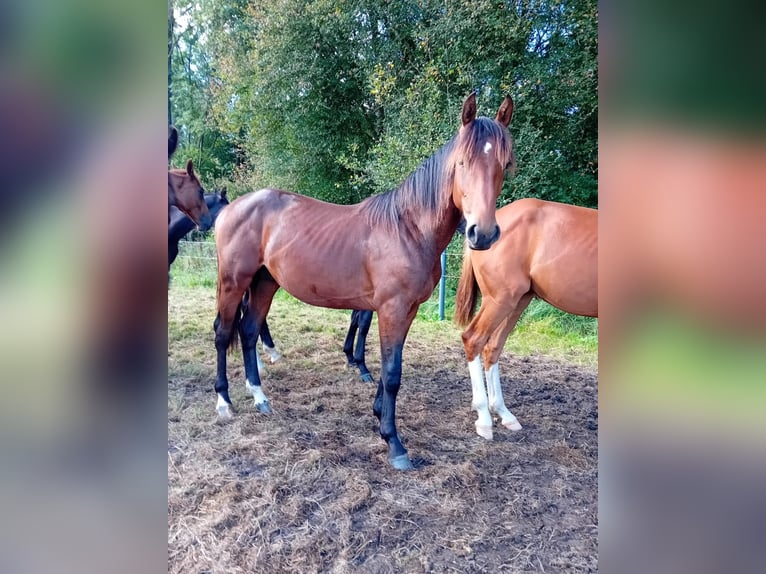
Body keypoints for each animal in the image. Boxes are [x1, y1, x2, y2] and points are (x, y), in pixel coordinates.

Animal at [213, 92, 515, 470]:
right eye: (462, 163)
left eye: (505, 164)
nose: (482, 234)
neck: (408, 229)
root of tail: (230, 209)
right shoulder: (391, 309)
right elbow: (392, 373)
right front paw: (394, 443)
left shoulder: (406, 311)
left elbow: (389, 366)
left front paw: (377, 413)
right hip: (233, 282)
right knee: (223, 333)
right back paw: (224, 402)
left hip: (265, 283)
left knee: (250, 331)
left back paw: (259, 397)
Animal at [454, 198, 597, 441]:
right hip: (499, 300)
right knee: (474, 339)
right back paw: (484, 419)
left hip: (518, 301)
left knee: (492, 346)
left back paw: (503, 413)